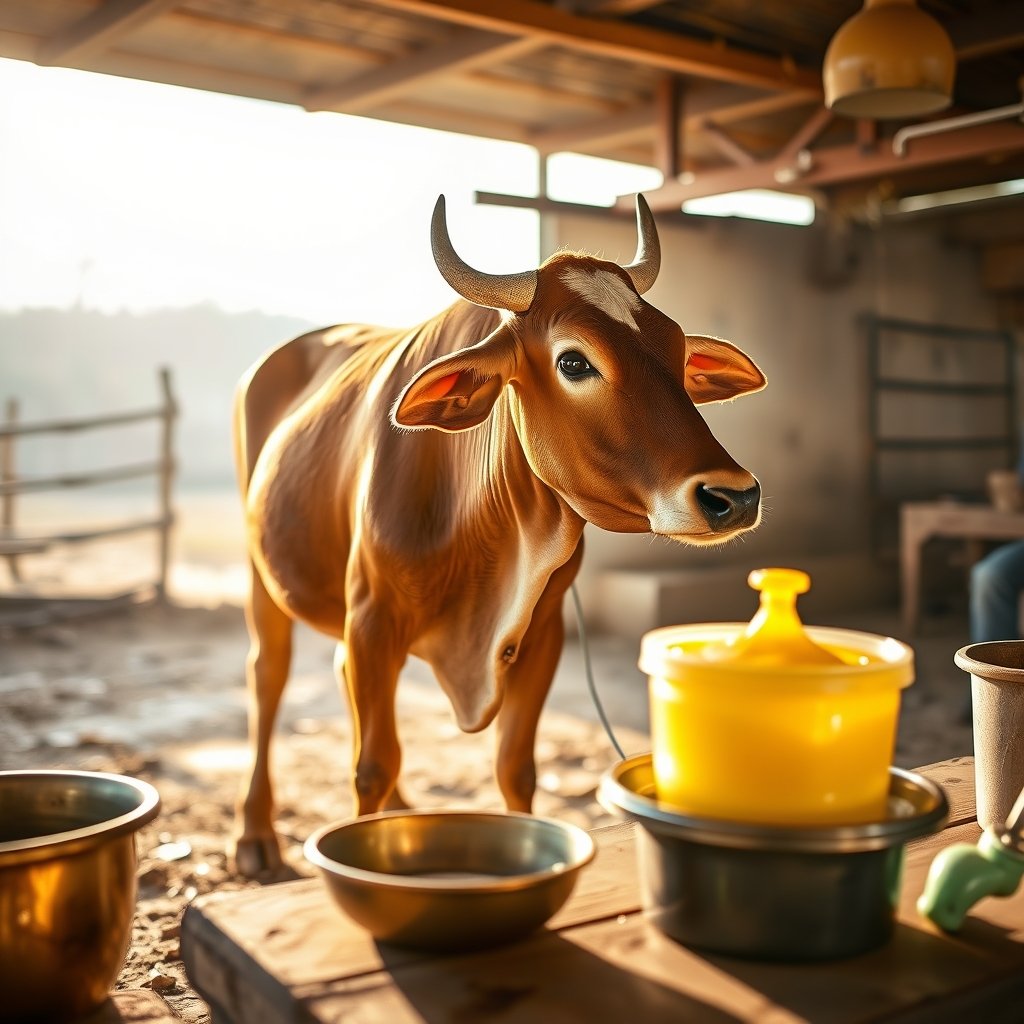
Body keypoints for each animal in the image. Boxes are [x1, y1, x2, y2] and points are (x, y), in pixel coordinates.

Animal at [232, 194, 765, 875]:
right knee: (267, 676)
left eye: (676, 351)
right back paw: (255, 834)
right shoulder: (372, 621)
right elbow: (370, 765)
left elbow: (515, 767)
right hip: (262, 574)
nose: (733, 496)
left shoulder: (543, 633)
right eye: (573, 361)